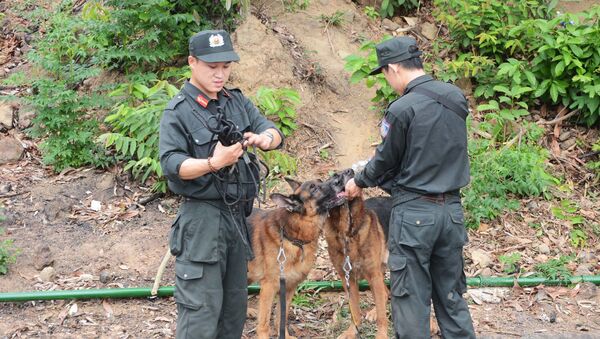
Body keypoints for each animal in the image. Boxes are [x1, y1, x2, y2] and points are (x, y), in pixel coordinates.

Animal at [246, 178, 340, 339]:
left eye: (320, 181)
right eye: (314, 188)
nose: (340, 177)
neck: (293, 238)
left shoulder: (289, 287)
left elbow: (281, 316)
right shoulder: (269, 288)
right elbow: (264, 322)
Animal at [324, 170, 390, 339]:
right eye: (335, 176)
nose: (351, 171)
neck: (347, 232)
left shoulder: (373, 275)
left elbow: (382, 316)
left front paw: (381, 335)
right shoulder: (348, 279)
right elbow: (354, 309)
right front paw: (352, 331)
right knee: (385, 292)